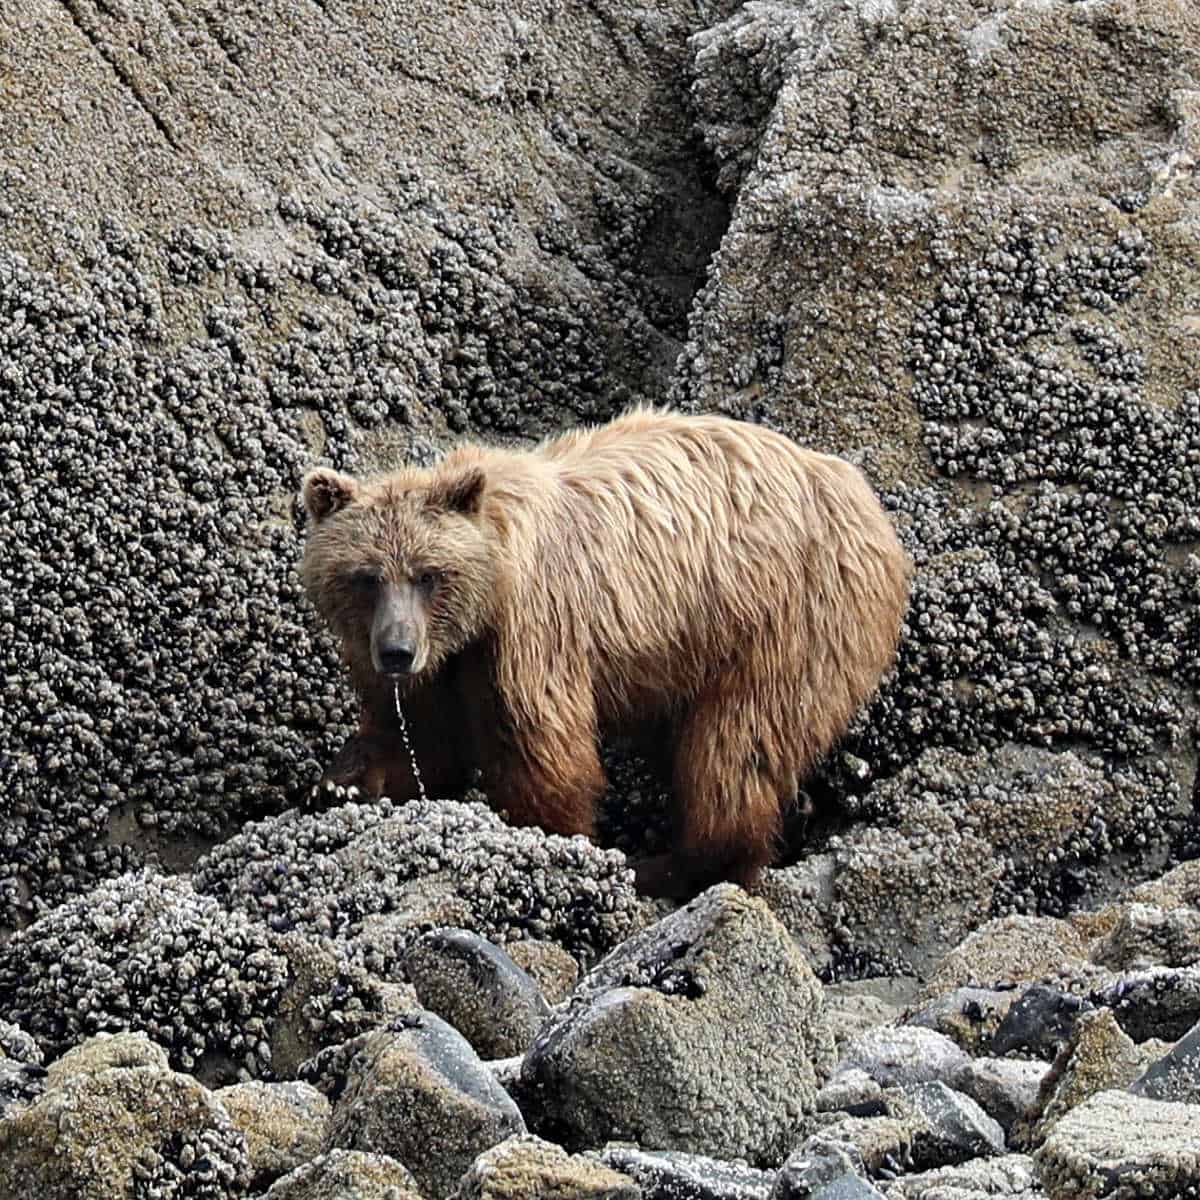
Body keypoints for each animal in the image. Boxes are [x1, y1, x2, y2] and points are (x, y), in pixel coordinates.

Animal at [297, 408, 907, 897]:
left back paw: (676, 864)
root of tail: (867, 501)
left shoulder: (531, 628)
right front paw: (339, 781)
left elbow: (543, 748)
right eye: (366, 577)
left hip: (788, 615)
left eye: (429, 574)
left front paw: (546, 835)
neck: (485, 598)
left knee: (736, 746)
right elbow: (421, 738)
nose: (397, 651)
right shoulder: (442, 662)